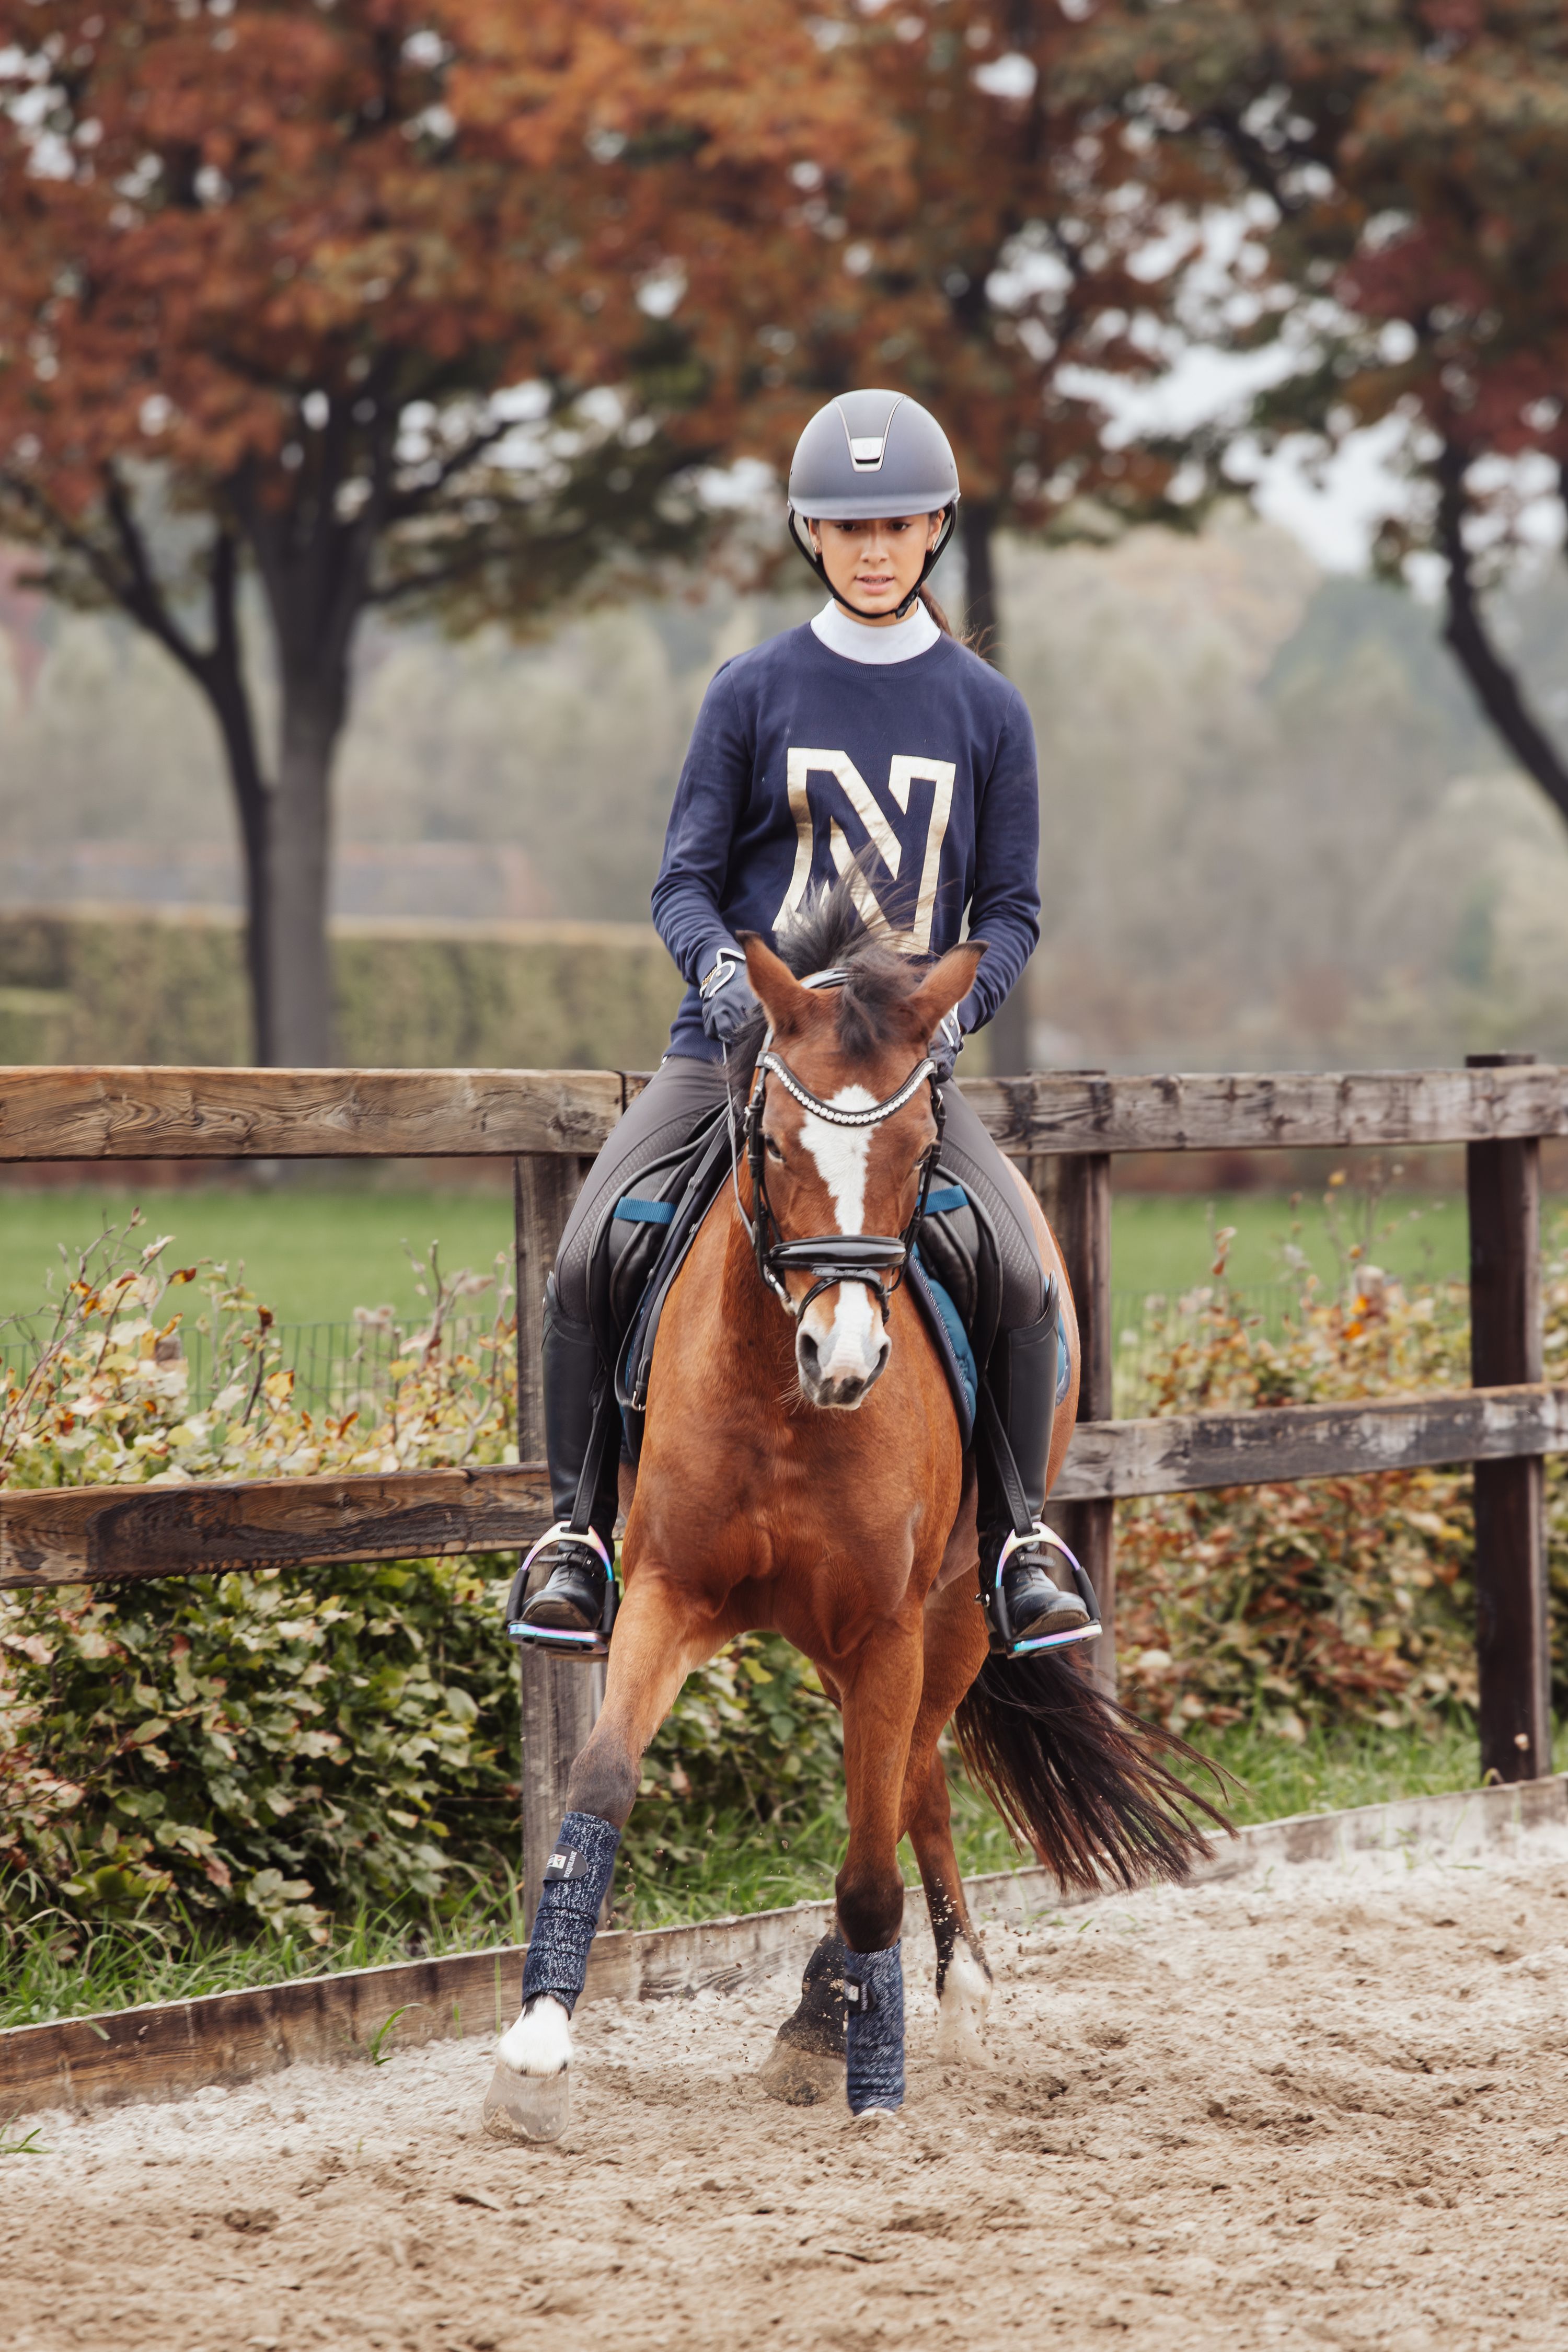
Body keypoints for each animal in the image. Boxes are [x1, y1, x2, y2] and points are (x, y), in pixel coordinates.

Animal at [485, 895, 1222, 2137]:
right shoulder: (673, 1595)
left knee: (908, 1778)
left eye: (918, 1152)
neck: (781, 1405)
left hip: (952, 1615)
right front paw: (537, 2048)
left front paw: (870, 2077)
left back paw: (901, 2004)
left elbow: (871, 1857)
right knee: (906, 1780)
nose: (844, 1358)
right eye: (776, 1142)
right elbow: (600, 1783)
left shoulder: (887, 1624)